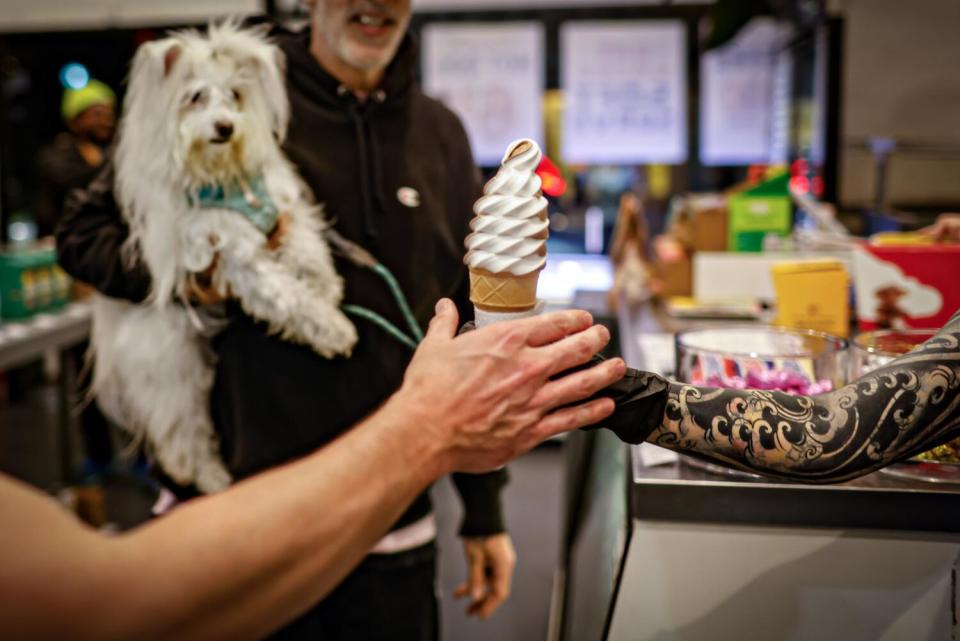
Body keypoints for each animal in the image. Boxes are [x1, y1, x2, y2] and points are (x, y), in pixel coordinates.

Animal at [90, 20, 356, 490]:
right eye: (195, 96)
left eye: (235, 94)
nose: (225, 127)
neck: (225, 180)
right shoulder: (234, 254)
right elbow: (286, 297)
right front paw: (333, 328)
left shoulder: (281, 207)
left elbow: (307, 247)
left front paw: (325, 285)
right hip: (172, 367)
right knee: (180, 436)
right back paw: (212, 479)